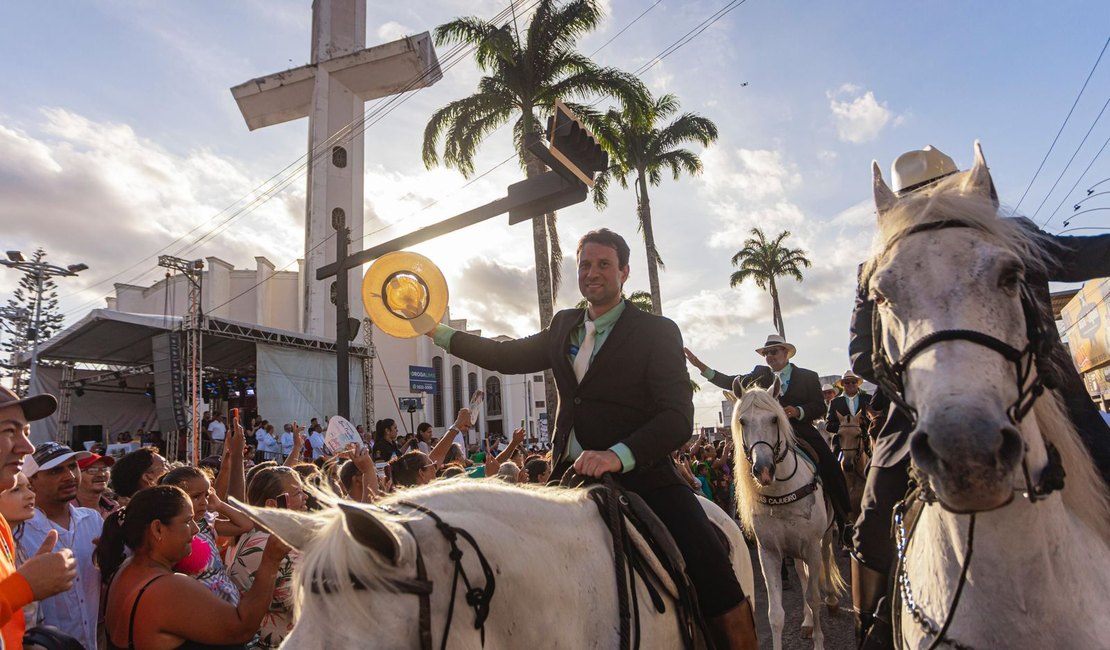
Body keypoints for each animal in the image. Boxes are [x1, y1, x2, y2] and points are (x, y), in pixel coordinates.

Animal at [723, 383, 843, 647]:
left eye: (775, 418)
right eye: (742, 421)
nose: (763, 470)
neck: (781, 492)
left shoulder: (811, 546)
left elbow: (814, 597)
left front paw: (819, 642)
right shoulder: (769, 552)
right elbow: (776, 614)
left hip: (825, 536)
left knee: (826, 557)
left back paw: (831, 600)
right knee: (801, 573)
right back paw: (807, 622)